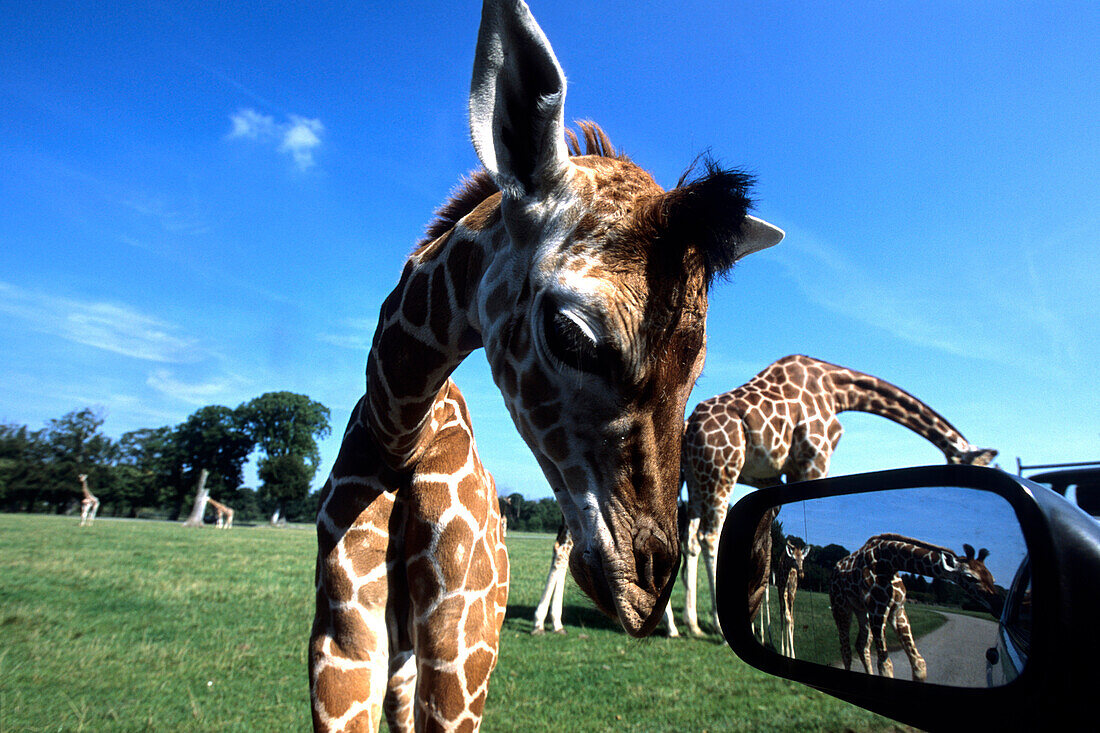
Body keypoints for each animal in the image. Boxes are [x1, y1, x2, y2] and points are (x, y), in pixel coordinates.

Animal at [305, 2, 787, 726]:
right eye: (570, 333)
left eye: (698, 371)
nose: (646, 593)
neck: (400, 427)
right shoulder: (342, 634)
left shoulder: (463, 644)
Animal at [673, 352, 1003, 633]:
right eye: (981, 466)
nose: (996, 604)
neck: (838, 390)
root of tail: (688, 427)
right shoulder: (814, 459)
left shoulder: (779, 475)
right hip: (722, 471)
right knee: (709, 536)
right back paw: (716, 625)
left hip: (697, 479)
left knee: (688, 538)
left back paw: (691, 624)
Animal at [827, 530, 1003, 677]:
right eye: (970, 577)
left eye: (993, 578)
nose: (998, 607)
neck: (890, 561)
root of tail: (834, 571)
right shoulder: (878, 610)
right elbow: (885, 665)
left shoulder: (897, 610)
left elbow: (919, 662)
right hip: (841, 607)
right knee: (846, 649)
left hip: (861, 611)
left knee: (861, 645)